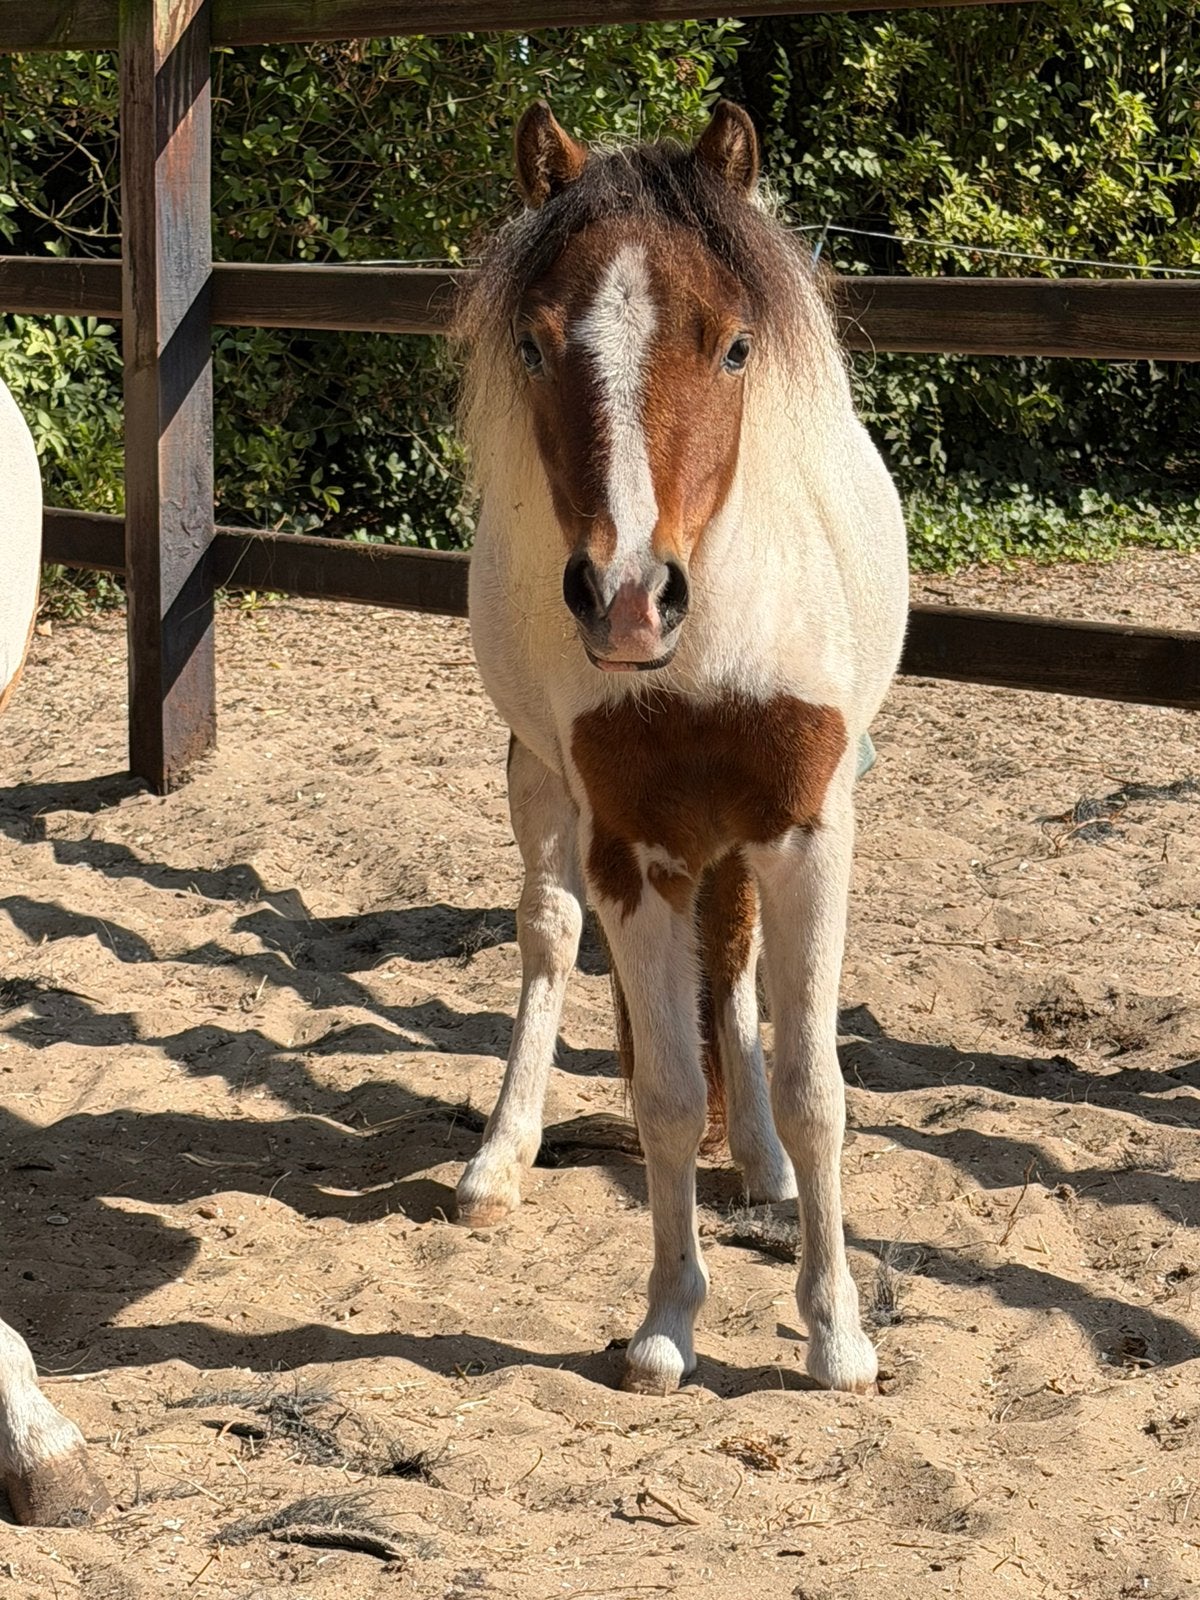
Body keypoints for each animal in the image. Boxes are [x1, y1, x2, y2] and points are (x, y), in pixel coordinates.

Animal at [453, 100, 909, 1398]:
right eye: (535, 346)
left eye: (737, 346)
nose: (626, 599)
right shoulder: (635, 847)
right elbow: (661, 1092)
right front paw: (665, 1325)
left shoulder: (809, 831)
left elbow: (815, 1089)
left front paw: (836, 1335)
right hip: (539, 779)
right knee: (548, 934)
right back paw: (500, 1157)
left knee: (737, 967)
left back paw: (759, 1162)